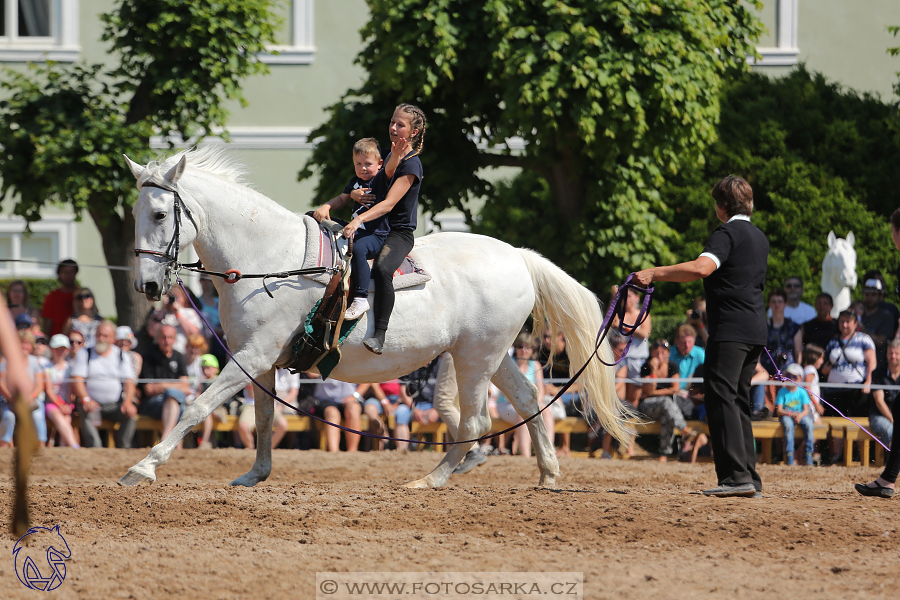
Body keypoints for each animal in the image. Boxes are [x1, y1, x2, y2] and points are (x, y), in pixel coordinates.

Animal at [118, 148, 624, 490]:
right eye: (136, 214)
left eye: (160, 214)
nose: (147, 286)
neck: (271, 259)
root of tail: (517, 256)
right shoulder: (257, 362)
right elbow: (262, 420)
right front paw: (255, 475)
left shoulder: (253, 355)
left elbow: (198, 405)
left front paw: (143, 467)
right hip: (491, 355)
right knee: (527, 399)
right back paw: (548, 474)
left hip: (475, 360)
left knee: (475, 424)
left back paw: (432, 479)